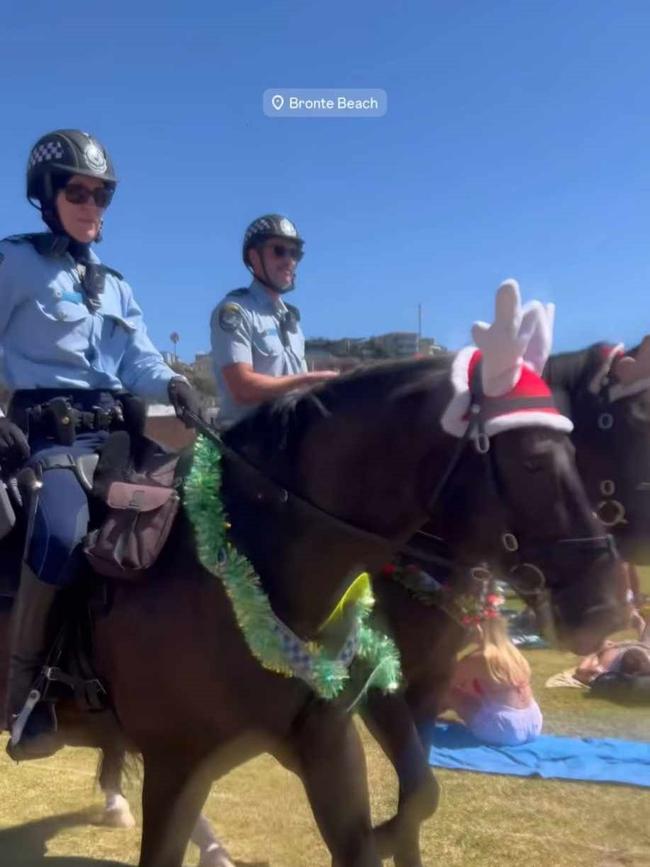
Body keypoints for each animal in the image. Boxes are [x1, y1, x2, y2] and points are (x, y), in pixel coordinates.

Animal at [1, 342, 624, 864]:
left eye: (577, 450)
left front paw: (388, 835)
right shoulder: (176, 766)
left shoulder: (336, 739)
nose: (608, 605)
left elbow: (405, 805)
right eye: (534, 460)